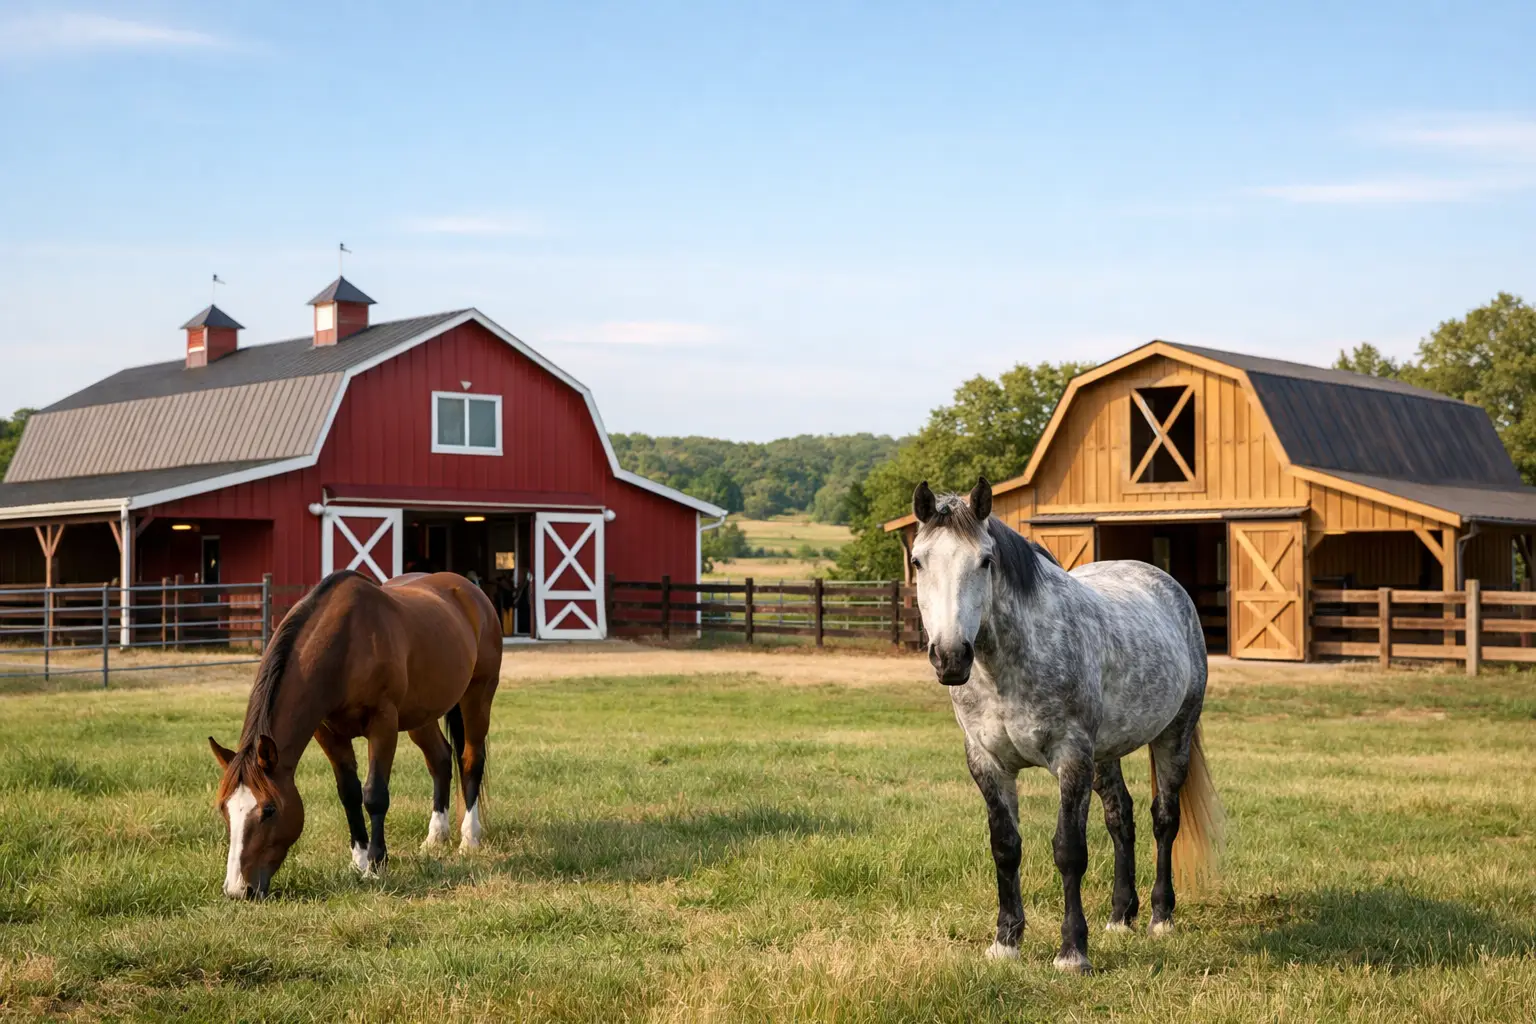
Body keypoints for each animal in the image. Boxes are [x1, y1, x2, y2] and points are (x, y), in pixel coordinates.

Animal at [208, 570, 503, 899]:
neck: (346, 645)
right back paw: (435, 837)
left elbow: (374, 794)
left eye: (269, 809)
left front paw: (376, 863)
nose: (238, 889)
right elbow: (349, 793)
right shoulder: (328, 733)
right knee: (440, 760)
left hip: (478, 695)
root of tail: (468, 588)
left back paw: (469, 838)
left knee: (470, 760)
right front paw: (358, 861)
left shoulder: (383, 723)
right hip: (421, 714)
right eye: (224, 809)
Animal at [909, 478, 1222, 973]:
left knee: (1164, 820)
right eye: (919, 561)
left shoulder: (1071, 757)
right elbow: (1006, 847)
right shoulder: (987, 762)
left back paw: (1160, 917)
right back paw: (1120, 916)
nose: (951, 656)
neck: (1009, 666)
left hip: (1175, 734)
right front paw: (1005, 942)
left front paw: (1072, 952)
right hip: (1106, 753)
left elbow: (1069, 852)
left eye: (985, 560)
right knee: (1120, 817)